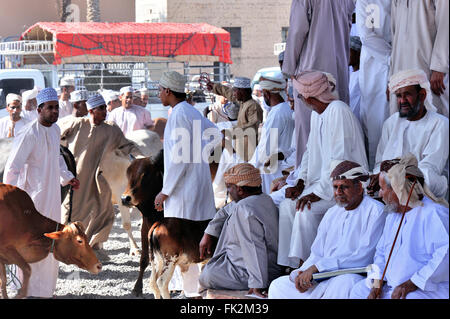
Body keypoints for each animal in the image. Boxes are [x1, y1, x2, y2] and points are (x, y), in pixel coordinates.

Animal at [121, 155, 209, 300]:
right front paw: (137, 288)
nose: (125, 198)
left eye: (145, 175)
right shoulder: (145, 227)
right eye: (127, 174)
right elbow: (144, 259)